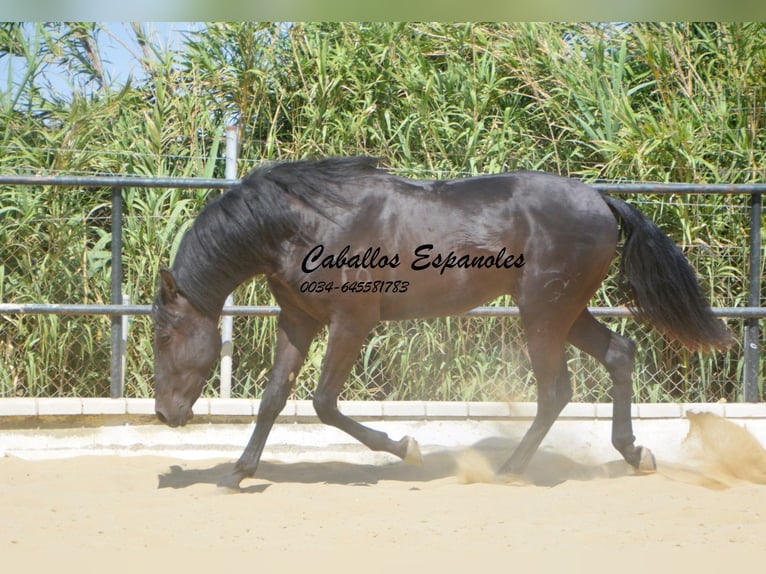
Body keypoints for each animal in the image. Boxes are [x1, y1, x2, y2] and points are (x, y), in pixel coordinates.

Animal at [153, 159, 736, 496]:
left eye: (163, 336)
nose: (164, 414)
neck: (306, 222)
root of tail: (600, 199)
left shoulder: (351, 322)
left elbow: (322, 403)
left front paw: (405, 447)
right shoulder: (299, 320)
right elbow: (275, 398)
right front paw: (237, 472)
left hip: (543, 314)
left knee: (555, 390)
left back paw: (509, 469)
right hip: (565, 312)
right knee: (617, 353)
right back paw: (636, 454)